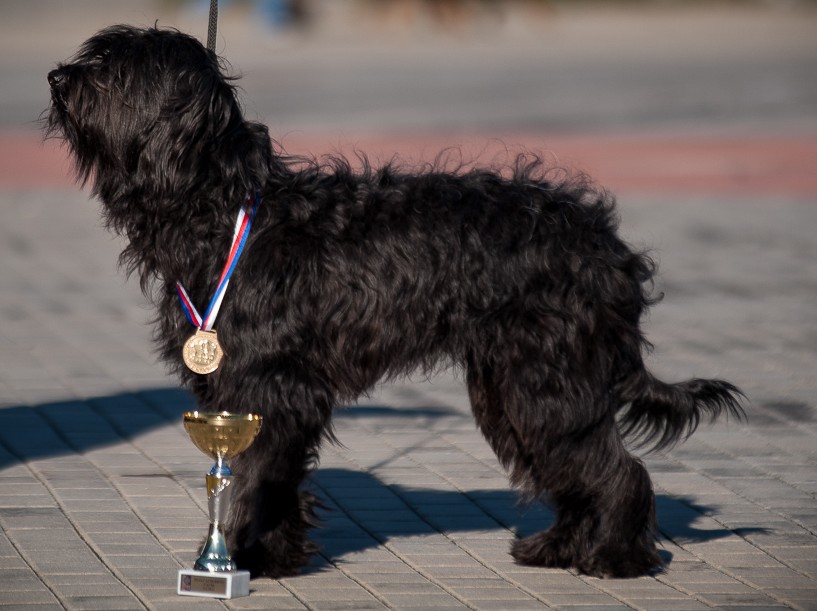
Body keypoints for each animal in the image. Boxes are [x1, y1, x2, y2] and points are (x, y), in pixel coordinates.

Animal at [46, 23, 744, 580]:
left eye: (116, 72)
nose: (56, 77)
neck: (224, 204)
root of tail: (608, 247)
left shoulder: (272, 385)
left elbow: (259, 478)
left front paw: (243, 557)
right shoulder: (251, 388)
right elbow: (275, 479)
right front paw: (274, 557)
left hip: (546, 380)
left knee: (617, 469)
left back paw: (617, 559)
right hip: (510, 388)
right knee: (573, 467)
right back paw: (559, 548)